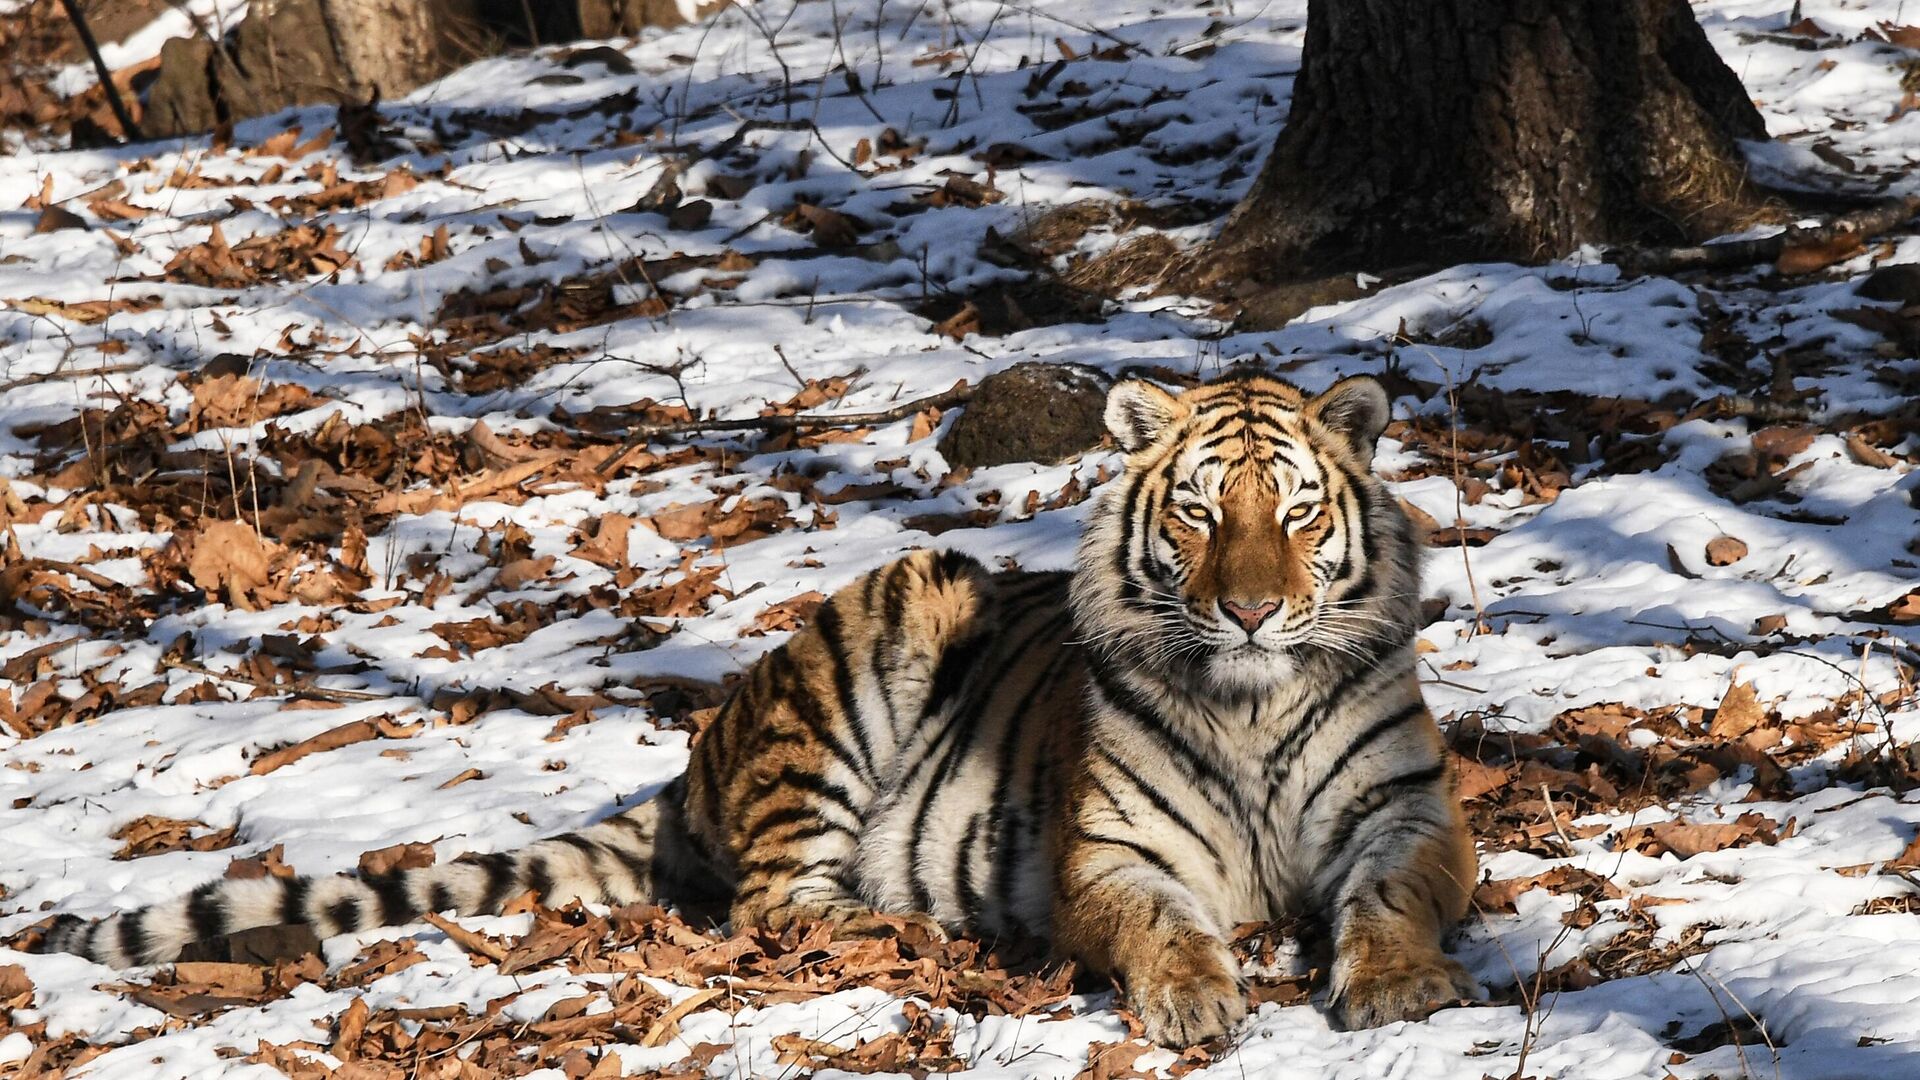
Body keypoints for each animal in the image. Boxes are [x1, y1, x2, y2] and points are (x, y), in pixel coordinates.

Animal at [52, 367, 1474, 1045]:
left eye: (1297, 514)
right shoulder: (1112, 852)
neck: (1249, 700)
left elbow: (1394, 898)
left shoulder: (1412, 814)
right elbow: (1164, 926)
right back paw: (930, 932)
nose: (1251, 611)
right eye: (1198, 516)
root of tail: (695, 763)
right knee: (776, 905)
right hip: (880, 635)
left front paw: (1402, 990)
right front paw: (1193, 998)